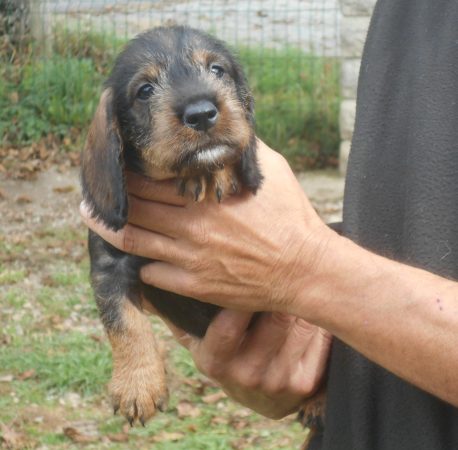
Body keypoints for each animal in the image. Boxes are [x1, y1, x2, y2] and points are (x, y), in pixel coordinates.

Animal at [80, 26, 262, 428]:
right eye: (145, 90)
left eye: (217, 70)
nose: (202, 114)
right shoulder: (108, 266)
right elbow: (124, 321)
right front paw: (137, 385)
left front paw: (214, 175)